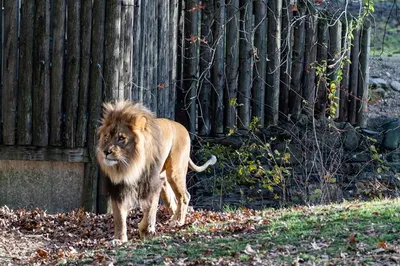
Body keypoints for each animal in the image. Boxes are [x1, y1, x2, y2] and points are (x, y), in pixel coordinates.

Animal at [95, 100, 217, 241]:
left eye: (121, 138)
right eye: (106, 137)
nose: (105, 152)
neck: (130, 165)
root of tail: (182, 127)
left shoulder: (152, 183)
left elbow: (150, 209)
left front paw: (146, 230)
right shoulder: (118, 186)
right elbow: (119, 216)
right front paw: (119, 239)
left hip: (174, 172)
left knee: (184, 196)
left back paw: (178, 221)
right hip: (165, 180)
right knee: (173, 201)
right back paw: (173, 219)